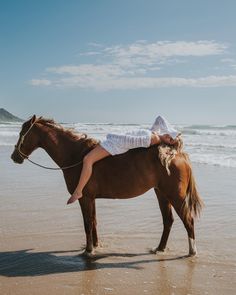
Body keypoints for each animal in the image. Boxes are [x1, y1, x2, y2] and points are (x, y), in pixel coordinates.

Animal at [10, 114, 203, 258]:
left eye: (22, 133)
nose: (14, 157)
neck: (75, 155)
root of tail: (178, 154)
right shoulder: (91, 199)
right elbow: (94, 221)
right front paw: (96, 246)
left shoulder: (84, 198)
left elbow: (88, 223)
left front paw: (88, 251)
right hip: (161, 193)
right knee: (168, 220)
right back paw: (160, 249)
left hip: (175, 196)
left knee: (188, 220)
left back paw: (192, 252)